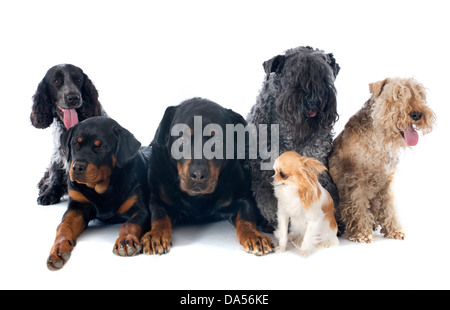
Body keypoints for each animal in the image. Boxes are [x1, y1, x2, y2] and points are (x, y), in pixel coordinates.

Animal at [47, 115, 150, 268]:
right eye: (75, 144)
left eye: (102, 147)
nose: (77, 167)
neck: (102, 189)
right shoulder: (77, 206)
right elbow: (63, 226)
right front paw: (58, 248)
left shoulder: (141, 210)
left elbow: (129, 224)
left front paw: (125, 241)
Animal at [142, 98, 274, 256]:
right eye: (182, 139)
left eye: (217, 142)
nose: (198, 174)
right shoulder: (158, 199)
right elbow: (159, 216)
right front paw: (156, 235)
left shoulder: (243, 198)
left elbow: (246, 217)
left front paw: (254, 235)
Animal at [326, 77, 436, 242]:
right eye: (397, 95)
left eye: (419, 94)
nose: (417, 114)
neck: (378, 138)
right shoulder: (355, 179)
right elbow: (359, 206)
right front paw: (362, 233)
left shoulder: (387, 180)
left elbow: (389, 207)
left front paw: (395, 230)